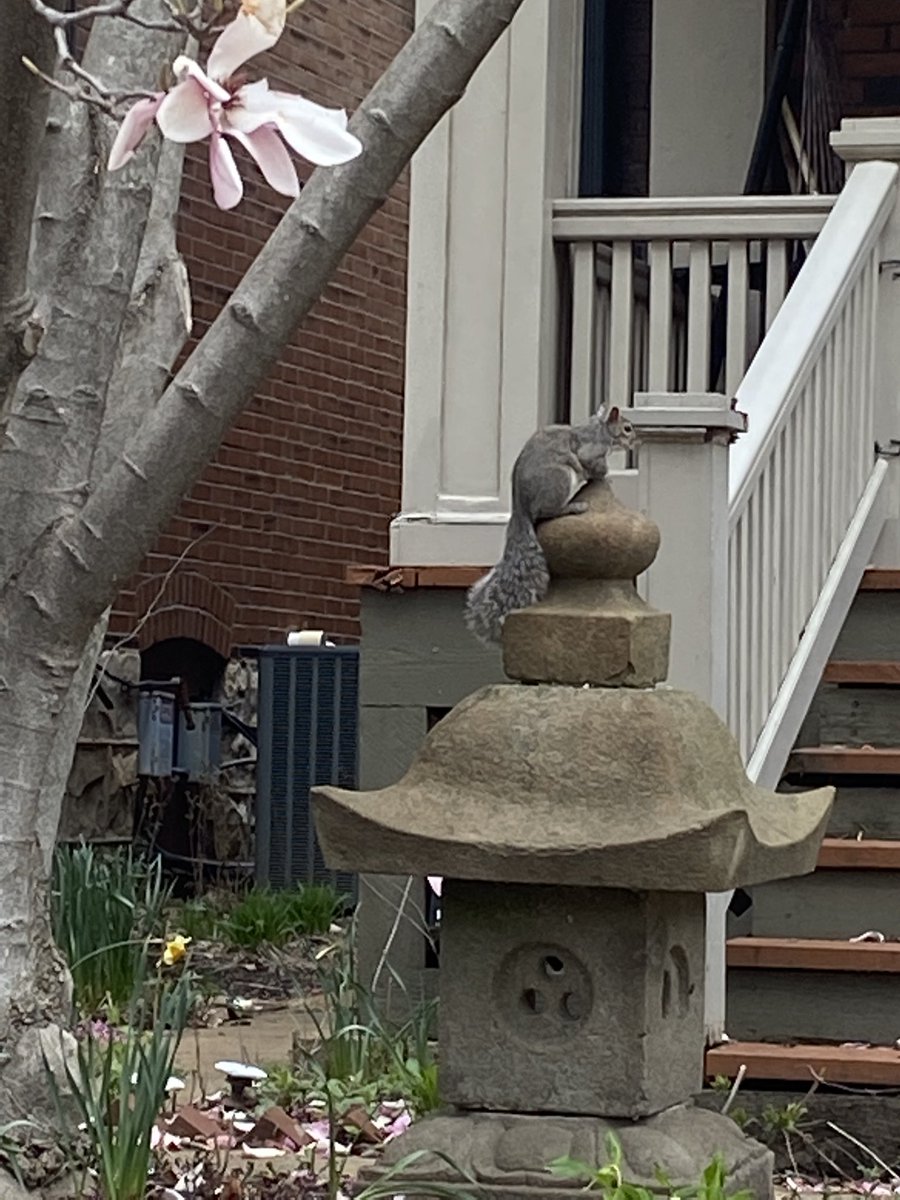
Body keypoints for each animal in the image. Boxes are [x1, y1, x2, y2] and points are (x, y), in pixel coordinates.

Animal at [465, 405, 633, 648]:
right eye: (627, 428)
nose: (636, 441)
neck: (600, 430)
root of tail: (521, 509)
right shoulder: (590, 450)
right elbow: (595, 466)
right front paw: (605, 476)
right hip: (559, 480)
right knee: (545, 513)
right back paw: (574, 506)